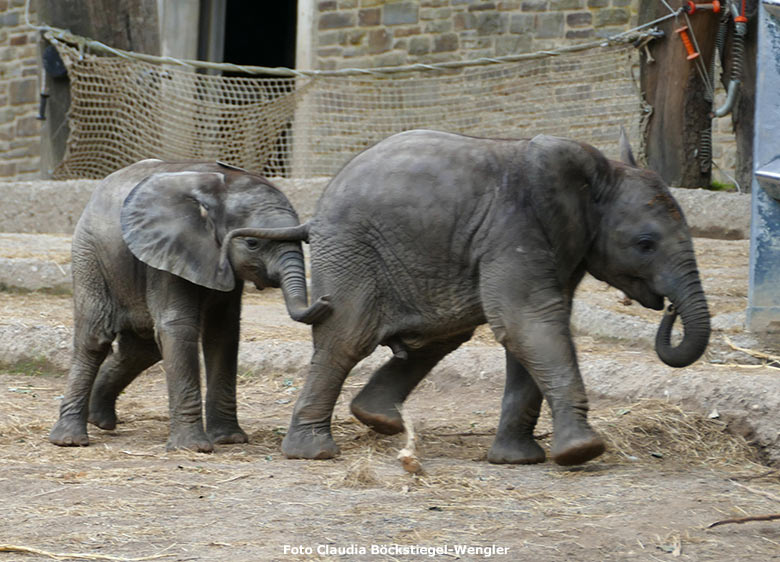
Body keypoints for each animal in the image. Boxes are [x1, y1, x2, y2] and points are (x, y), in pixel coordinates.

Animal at [48, 159, 330, 450]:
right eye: (252, 243)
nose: (325, 299)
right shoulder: (168, 251)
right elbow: (179, 327)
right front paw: (194, 447)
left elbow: (223, 333)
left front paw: (229, 439)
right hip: (89, 254)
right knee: (95, 338)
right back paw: (70, 439)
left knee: (143, 349)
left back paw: (100, 420)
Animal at [276, 130, 712, 464]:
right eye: (645, 244)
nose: (669, 310)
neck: (594, 174)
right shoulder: (514, 227)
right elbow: (528, 322)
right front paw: (582, 452)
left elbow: (534, 328)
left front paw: (517, 460)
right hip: (351, 249)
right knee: (347, 337)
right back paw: (313, 452)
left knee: (439, 338)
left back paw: (380, 421)